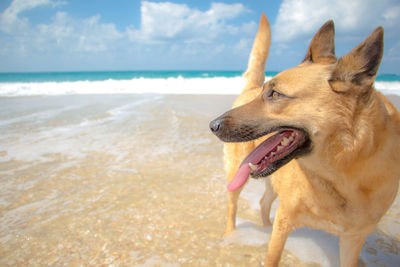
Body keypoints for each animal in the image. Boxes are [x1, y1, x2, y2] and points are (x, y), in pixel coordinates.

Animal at [209, 14, 400, 267]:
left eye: (275, 94)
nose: (213, 125)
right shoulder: (285, 220)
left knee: (263, 203)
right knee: (232, 208)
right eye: (266, 92)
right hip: (235, 177)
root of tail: (250, 88)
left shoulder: (353, 240)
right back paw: (230, 236)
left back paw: (264, 228)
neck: (339, 174)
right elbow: (272, 258)